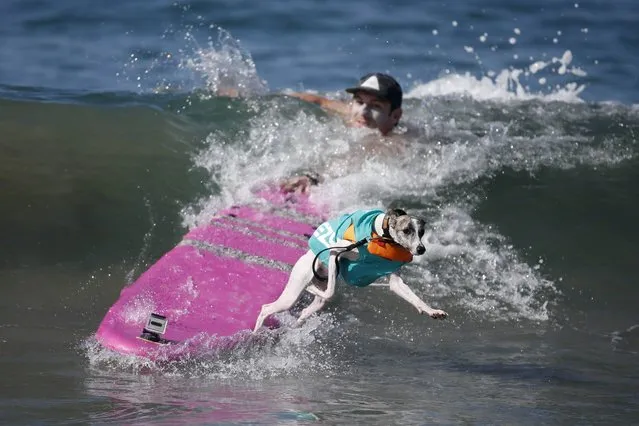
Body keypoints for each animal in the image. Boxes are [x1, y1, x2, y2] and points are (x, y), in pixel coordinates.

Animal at [252, 207, 448, 332]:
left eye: (421, 232)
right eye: (407, 230)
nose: (421, 249)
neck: (381, 236)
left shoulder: (395, 281)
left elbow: (414, 297)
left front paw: (433, 311)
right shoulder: (334, 252)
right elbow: (331, 291)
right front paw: (312, 288)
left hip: (314, 303)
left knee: (305, 311)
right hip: (292, 293)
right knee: (266, 308)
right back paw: (256, 332)